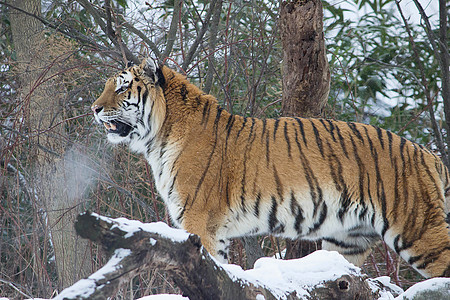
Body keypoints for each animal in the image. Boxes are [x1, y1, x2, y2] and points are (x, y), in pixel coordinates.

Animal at [92, 57, 450, 278]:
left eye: (122, 87)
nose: (94, 108)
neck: (158, 138)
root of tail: (429, 155)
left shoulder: (199, 221)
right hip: (348, 241)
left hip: (417, 230)